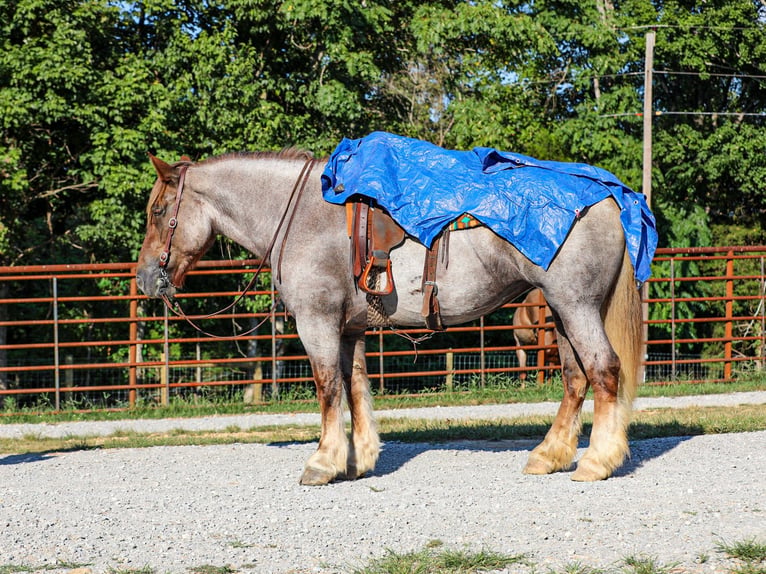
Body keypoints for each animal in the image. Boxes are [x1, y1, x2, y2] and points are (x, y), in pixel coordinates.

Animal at [136, 149, 644, 484]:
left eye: (159, 211)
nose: (144, 279)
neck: (301, 218)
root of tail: (608, 198)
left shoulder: (317, 322)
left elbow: (327, 388)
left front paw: (321, 463)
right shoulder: (349, 328)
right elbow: (356, 387)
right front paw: (357, 459)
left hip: (576, 307)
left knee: (603, 370)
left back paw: (596, 462)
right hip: (561, 313)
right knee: (575, 378)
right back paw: (550, 455)